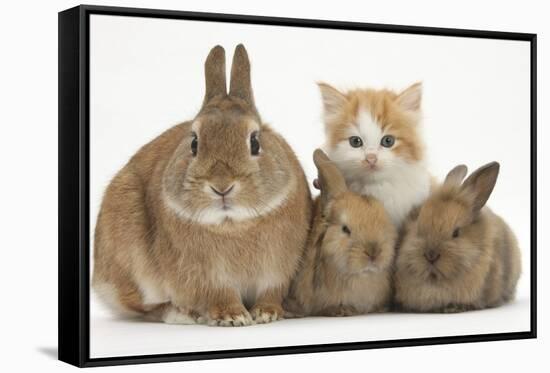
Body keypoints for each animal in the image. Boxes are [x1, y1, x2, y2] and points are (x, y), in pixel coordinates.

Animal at [92, 45, 312, 326]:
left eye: (254, 141)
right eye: (194, 143)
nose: (221, 186)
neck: (232, 224)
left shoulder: (277, 271)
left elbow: (270, 292)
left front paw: (266, 313)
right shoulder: (206, 277)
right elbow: (220, 294)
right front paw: (232, 317)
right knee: (145, 307)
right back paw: (183, 314)